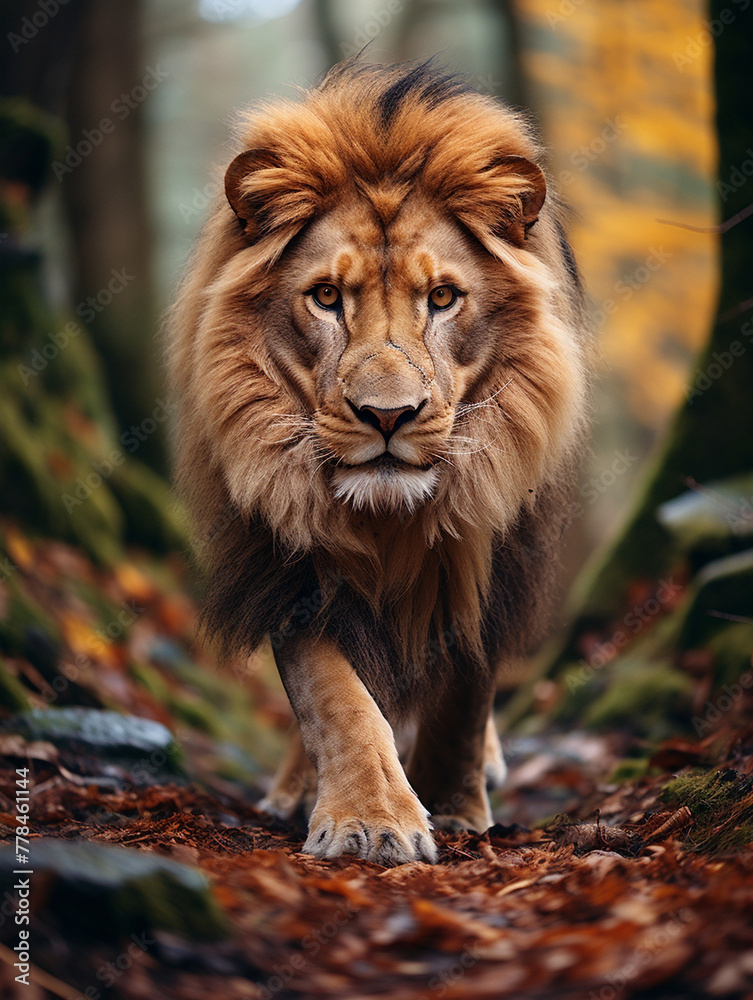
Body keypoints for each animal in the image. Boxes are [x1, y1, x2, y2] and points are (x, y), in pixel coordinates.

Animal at [167, 60, 589, 865]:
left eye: (444, 297)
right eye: (327, 297)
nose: (388, 416)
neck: (392, 518)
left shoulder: (491, 547)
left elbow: (465, 690)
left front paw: (455, 807)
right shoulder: (289, 563)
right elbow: (333, 696)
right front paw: (372, 819)